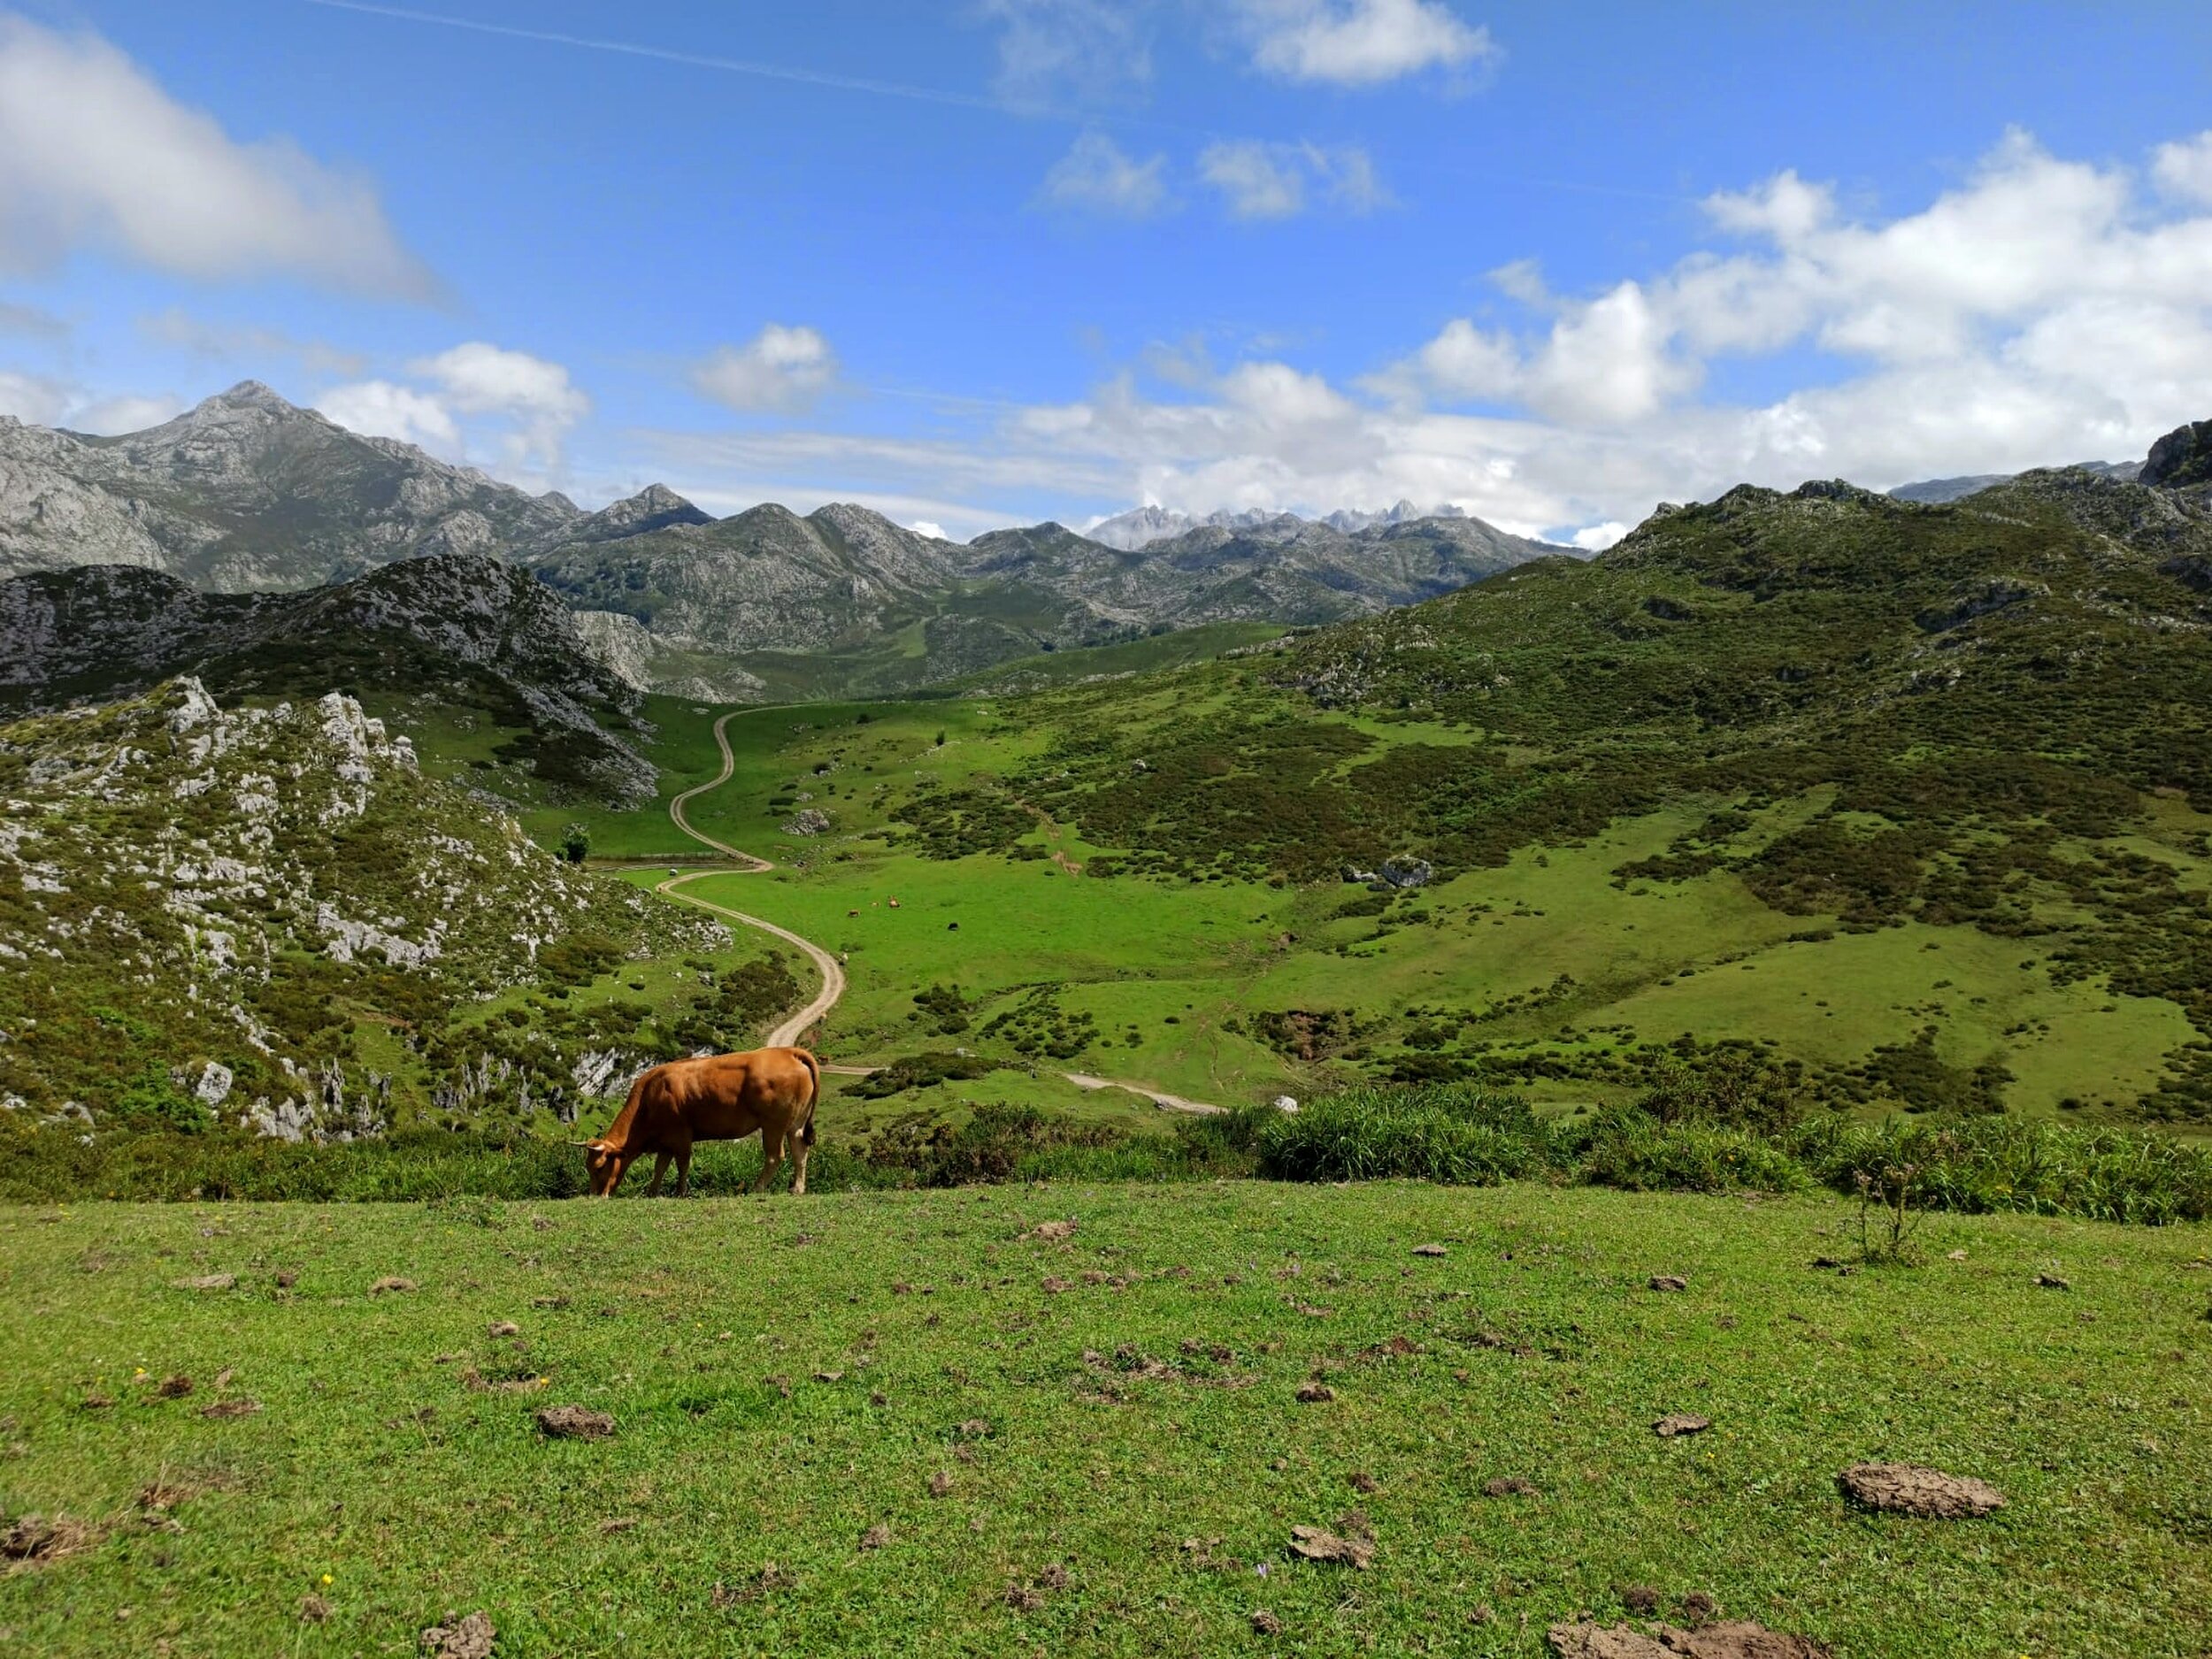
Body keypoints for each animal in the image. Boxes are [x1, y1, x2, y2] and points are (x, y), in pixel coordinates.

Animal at [580, 1044, 823, 1203]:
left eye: (600, 1167)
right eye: (588, 1167)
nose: (594, 1195)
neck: (649, 1097)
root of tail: (787, 1051)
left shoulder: (680, 1136)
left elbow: (682, 1164)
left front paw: (681, 1192)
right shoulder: (666, 1142)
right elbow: (660, 1167)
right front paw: (652, 1192)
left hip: (773, 1124)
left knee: (775, 1156)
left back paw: (756, 1188)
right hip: (796, 1124)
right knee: (800, 1151)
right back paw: (797, 1189)